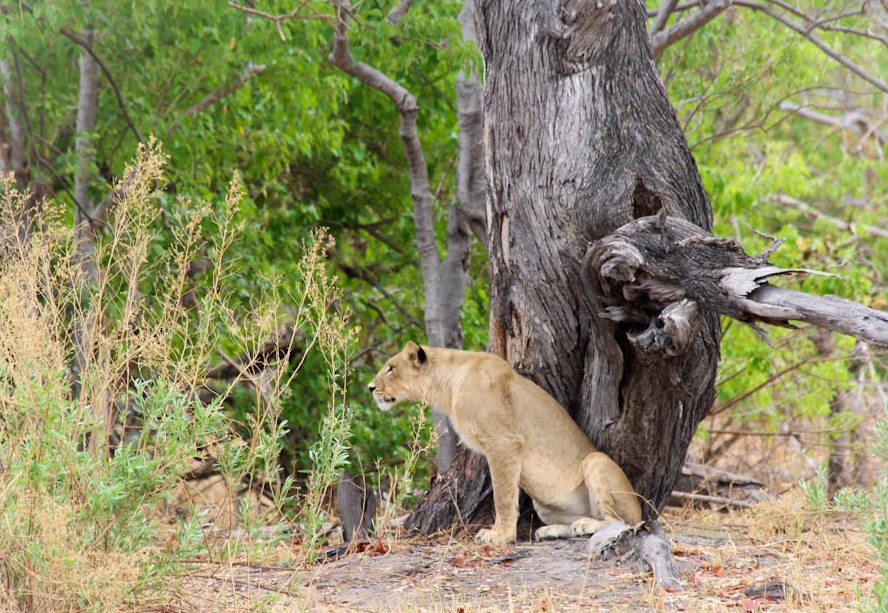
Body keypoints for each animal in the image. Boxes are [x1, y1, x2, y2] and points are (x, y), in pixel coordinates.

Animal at [368, 341, 642, 545]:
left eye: (390, 367)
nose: (370, 387)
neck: (448, 385)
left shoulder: (503, 442)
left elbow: (503, 494)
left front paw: (500, 536)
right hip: (543, 505)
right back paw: (554, 530)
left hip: (597, 462)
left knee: (623, 521)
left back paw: (585, 525)